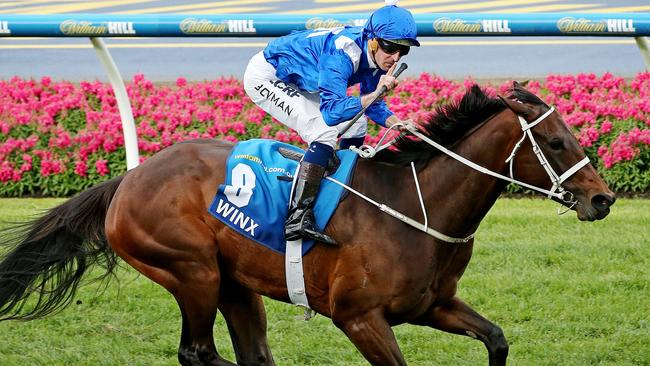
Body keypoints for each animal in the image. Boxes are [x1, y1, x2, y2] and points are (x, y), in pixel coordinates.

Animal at [0, 83, 612, 366]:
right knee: (198, 351)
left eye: (573, 133)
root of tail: (127, 179)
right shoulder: (359, 317)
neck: (419, 209)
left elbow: (497, 339)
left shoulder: (432, 305)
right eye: (555, 141)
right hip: (191, 270)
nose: (602, 199)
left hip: (235, 283)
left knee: (247, 353)